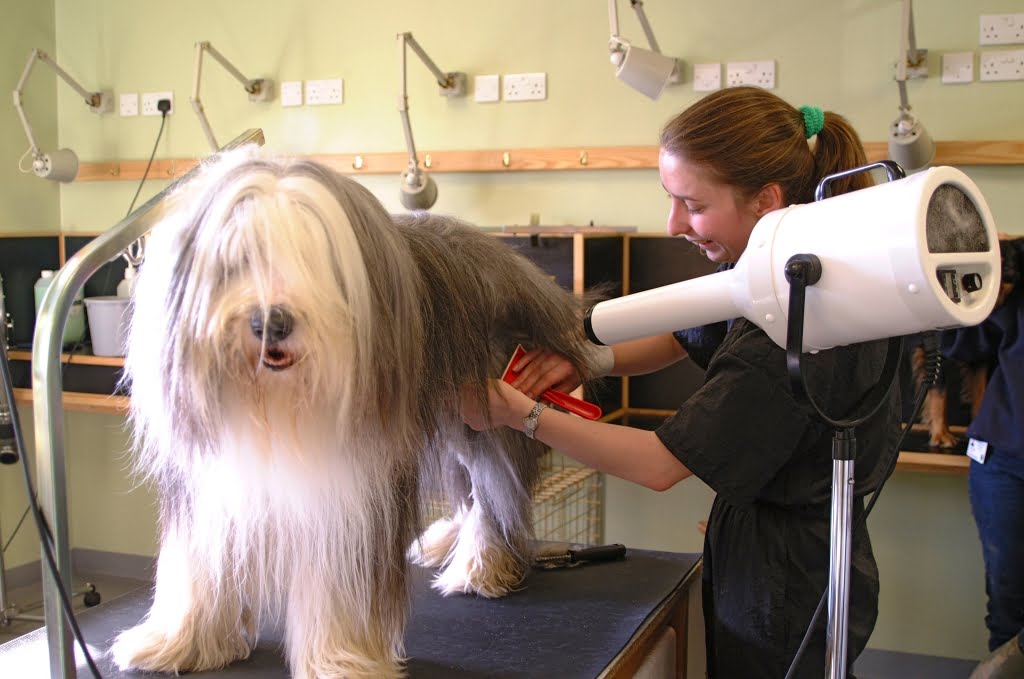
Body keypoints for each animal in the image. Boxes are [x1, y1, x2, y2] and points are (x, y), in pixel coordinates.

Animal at [108, 146, 598, 675]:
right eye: (238, 257)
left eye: (314, 260)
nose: (271, 322)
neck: (277, 399)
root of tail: (518, 266)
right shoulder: (210, 483)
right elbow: (197, 564)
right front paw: (179, 642)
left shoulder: (354, 488)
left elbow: (342, 584)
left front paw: (339, 660)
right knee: (467, 489)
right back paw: (447, 542)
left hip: (486, 410)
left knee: (492, 490)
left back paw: (480, 568)